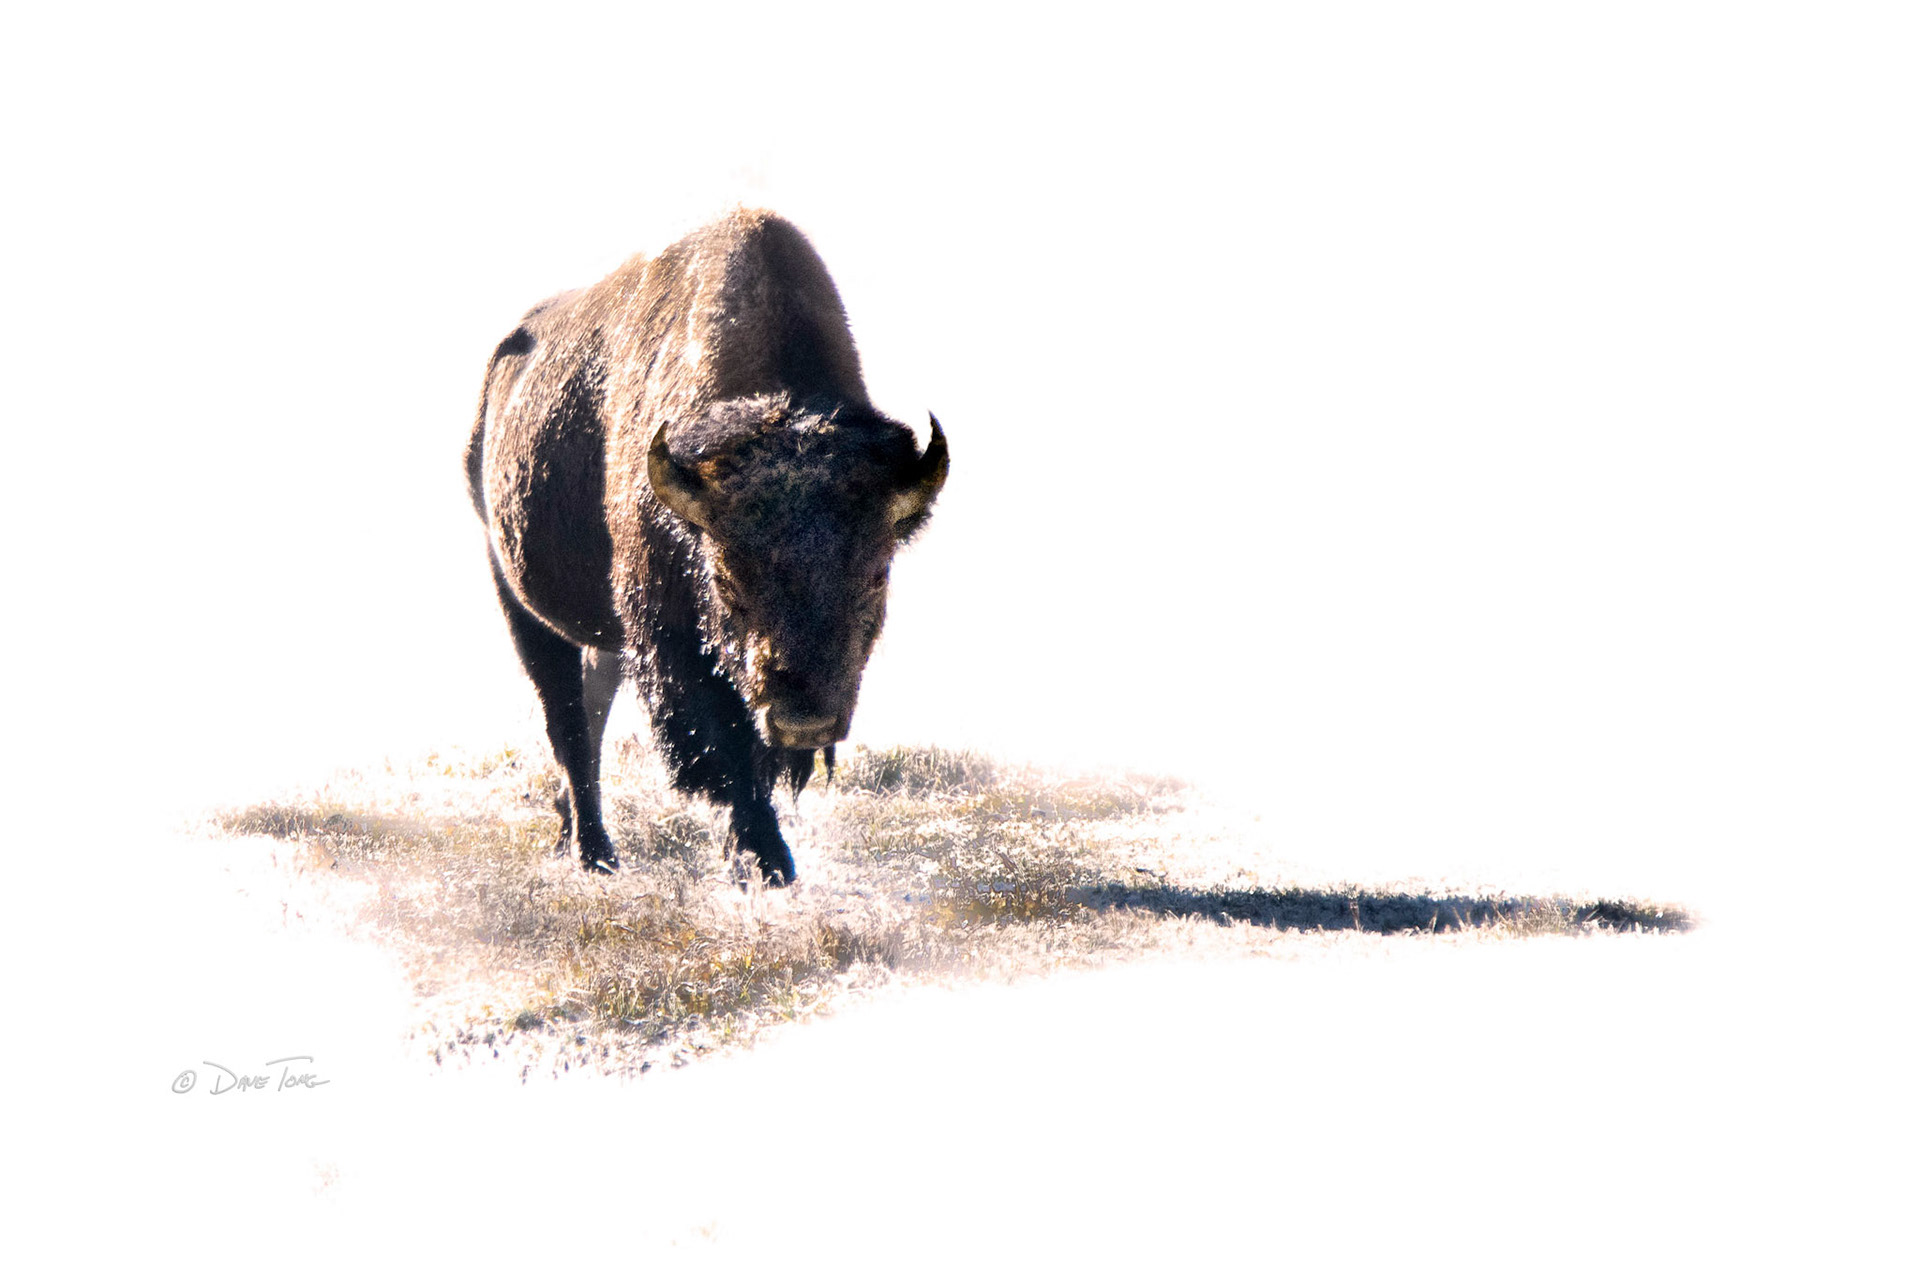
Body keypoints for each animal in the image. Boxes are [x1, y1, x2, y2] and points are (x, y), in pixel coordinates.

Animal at [465, 209, 947, 885]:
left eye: (878, 572)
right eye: (725, 578)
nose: (804, 718)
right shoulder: (672, 641)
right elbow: (725, 748)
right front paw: (767, 861)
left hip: (604, 638)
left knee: (590, 708)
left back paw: (570, 836)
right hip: (516, 594)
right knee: (565, 720)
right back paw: (595, 854)